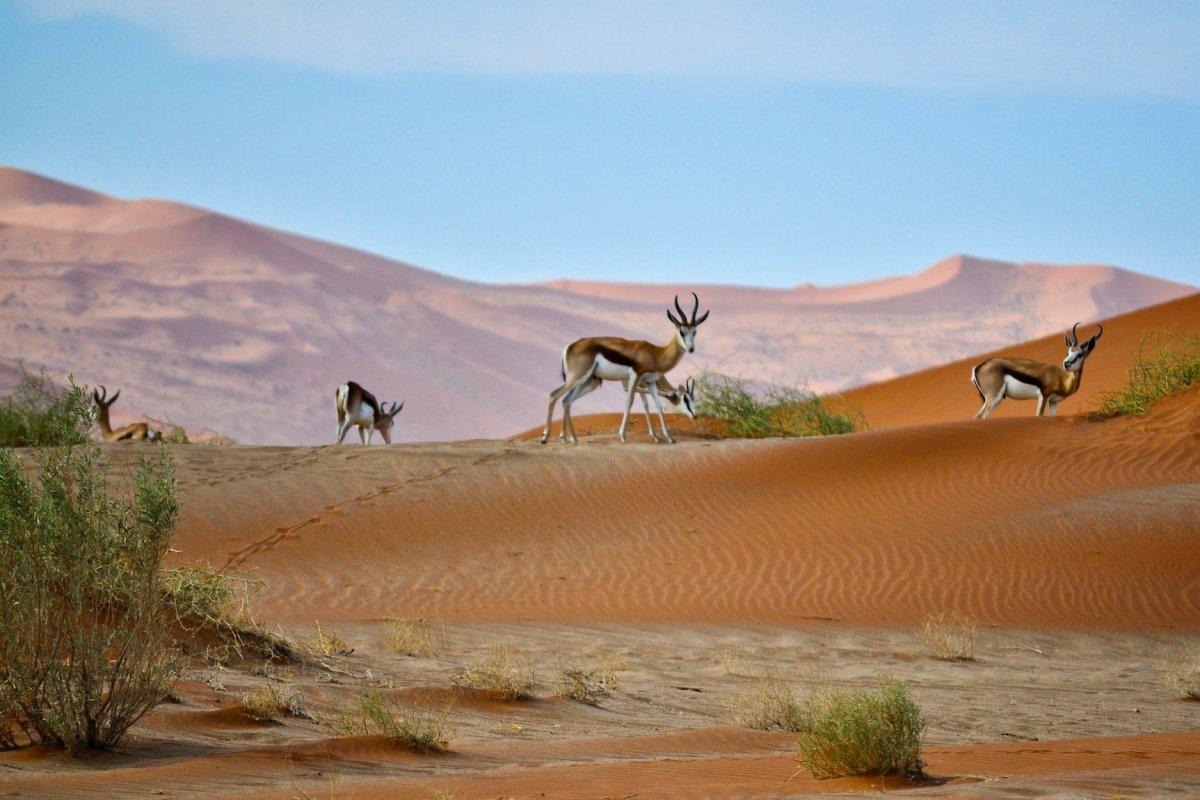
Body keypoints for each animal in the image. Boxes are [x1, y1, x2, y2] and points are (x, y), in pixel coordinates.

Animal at [544, 293, 710, 443]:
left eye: (695, 332)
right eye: (682, 332)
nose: (691, 348)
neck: (655, 353)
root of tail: (568, 347)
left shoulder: (650, 382)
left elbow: (656, 405)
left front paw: (668, 438)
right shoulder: (635, 377)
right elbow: (629, 402)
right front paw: (623, 436)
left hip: (589, 381)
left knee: (567, 400)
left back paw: (571, 438)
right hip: (578, 377)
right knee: (554, 395)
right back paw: (547, 438)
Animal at [969, 321, 1099, 419]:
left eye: (1080, 354)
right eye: (1068, 352)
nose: (1066, 363)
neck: (1061, 379)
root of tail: (978, 367)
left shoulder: (1053, 402)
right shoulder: (1043, 397)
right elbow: (1038, 416)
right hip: (994, 398)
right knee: (980, 417)